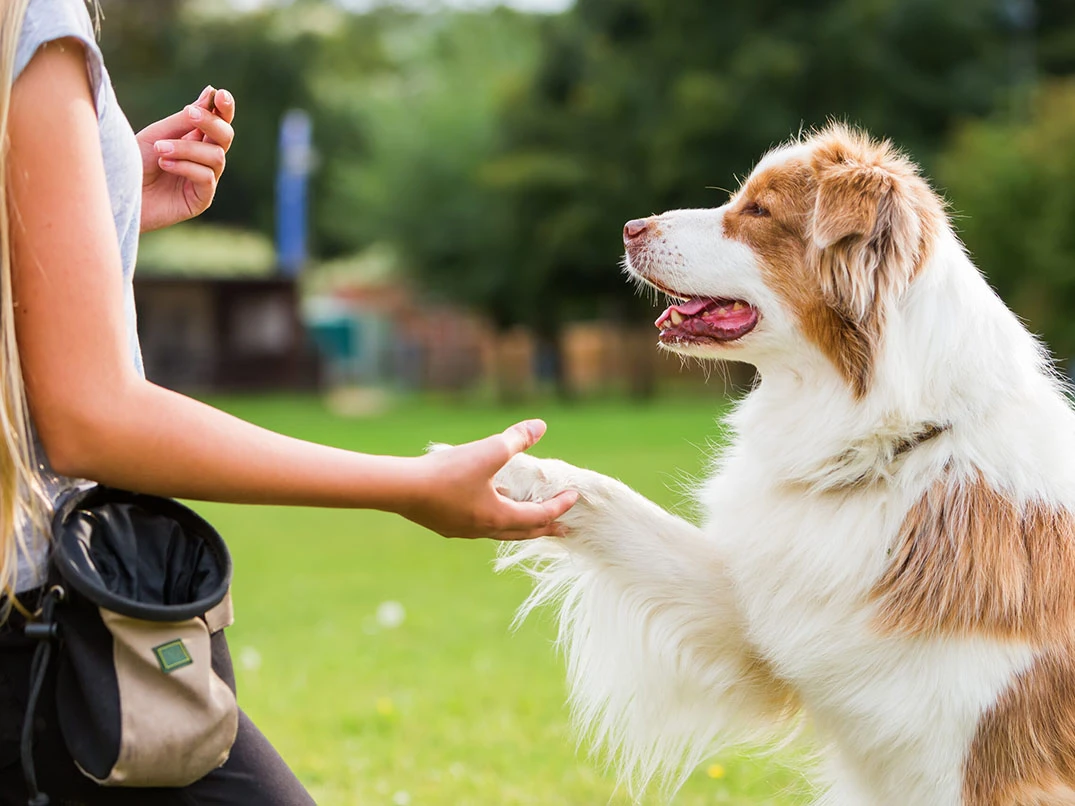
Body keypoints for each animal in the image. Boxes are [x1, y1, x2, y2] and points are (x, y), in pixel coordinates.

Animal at [492, 123, 1075, 803]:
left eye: (759, 212)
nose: (631, 227)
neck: (893, 449)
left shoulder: (996, 766)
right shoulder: (770, 613)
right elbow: (612, 501)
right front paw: (491, 468)